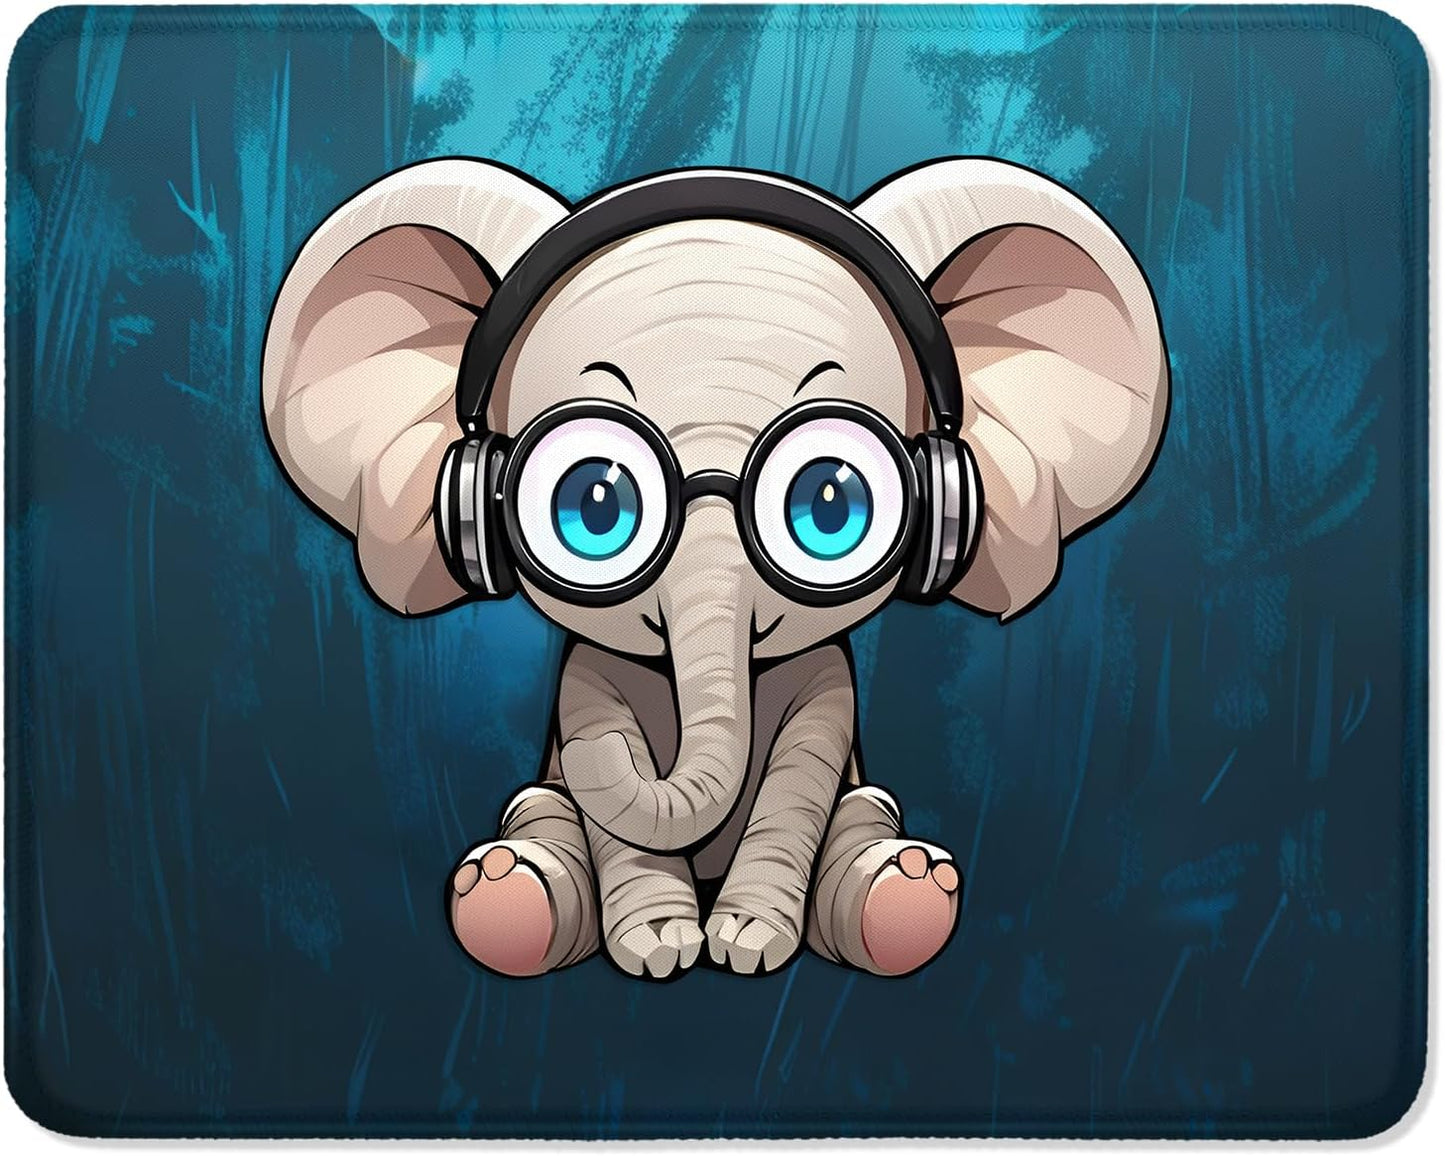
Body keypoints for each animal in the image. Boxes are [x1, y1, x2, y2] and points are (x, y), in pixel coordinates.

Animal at [262, 156, 1167, 980]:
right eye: (595, 505)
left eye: (830, 505)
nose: (597, 757)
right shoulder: (587, 676)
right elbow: (614, 817)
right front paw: (663, 943)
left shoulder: (825, 683)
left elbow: (797, 784)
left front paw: (747, 941)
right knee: (539, 814)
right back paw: (507, 892)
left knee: (865, 817)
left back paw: (899, 892)